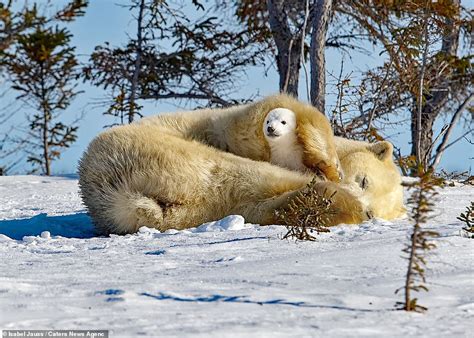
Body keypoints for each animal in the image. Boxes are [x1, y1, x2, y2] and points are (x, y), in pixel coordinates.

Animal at [78, 93, 370, 234]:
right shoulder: (235, 129)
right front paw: (329, 165)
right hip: (163, 154)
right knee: (246, 176)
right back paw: (346, 200)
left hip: (187, 210)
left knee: (243, 201)